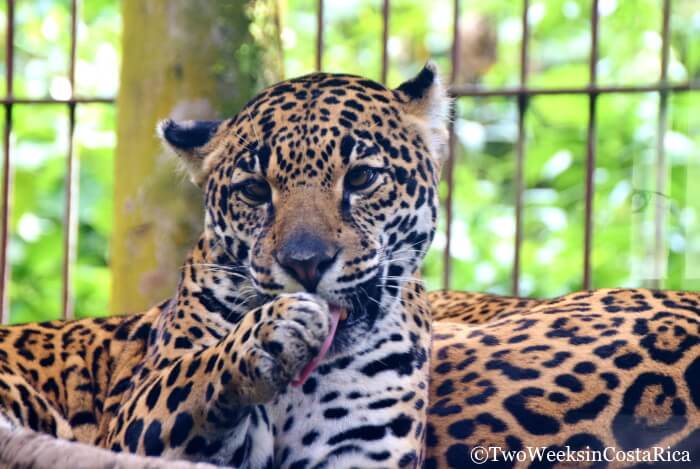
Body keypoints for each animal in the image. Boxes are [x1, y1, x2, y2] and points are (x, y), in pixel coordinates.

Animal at [0, 64, 448, 468]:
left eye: (361, 178)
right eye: (254, 190)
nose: (305, 264)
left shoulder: (360, 448)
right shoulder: (136, 417)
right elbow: (193, 372)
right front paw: (272, 331)